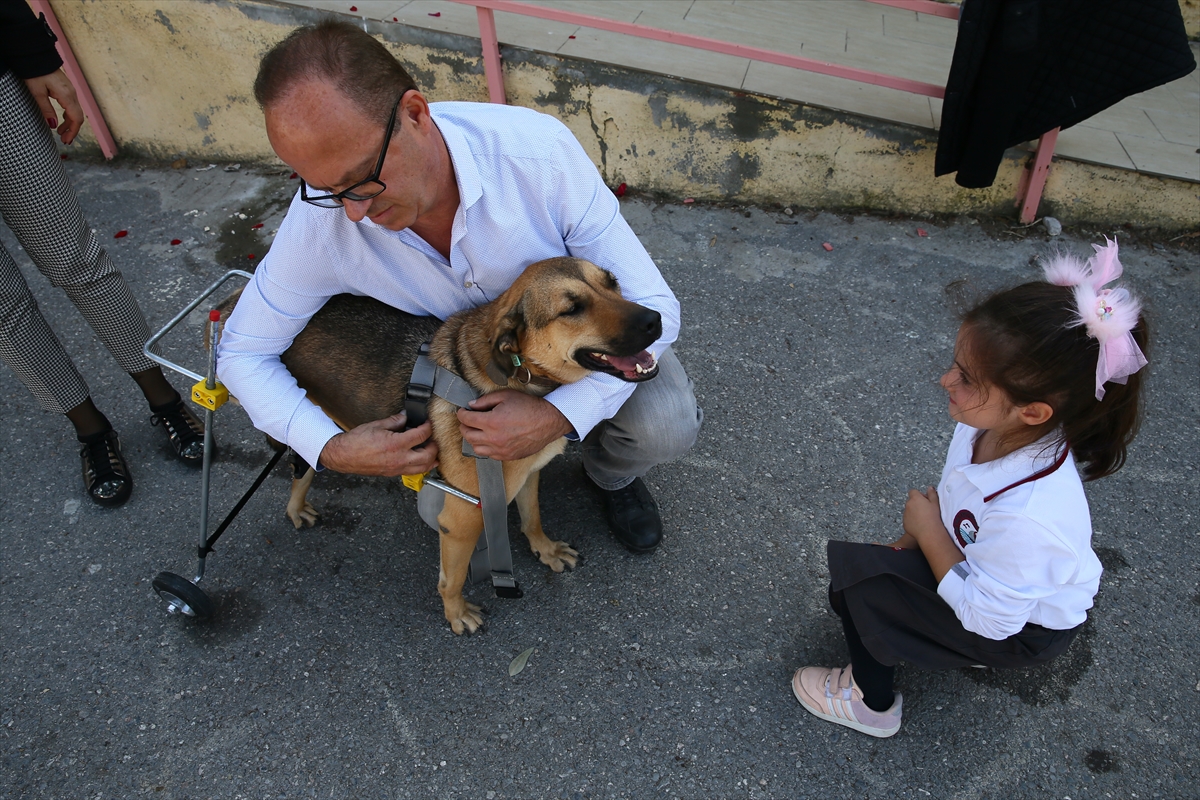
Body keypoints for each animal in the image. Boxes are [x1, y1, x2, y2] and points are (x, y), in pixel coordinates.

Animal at [220, 260, 662, 633]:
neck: (517, 377)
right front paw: (457, 614)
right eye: (571, 309)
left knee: (306, 464)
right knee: (303, 459)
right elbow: (451, 579)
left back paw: (298, 507)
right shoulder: (462, 518)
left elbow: (532, 518)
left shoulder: (528, 474)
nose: (656, 320)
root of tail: (234, 302)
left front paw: (546, 549)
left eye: (612, 282)